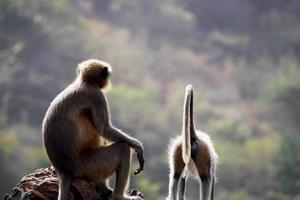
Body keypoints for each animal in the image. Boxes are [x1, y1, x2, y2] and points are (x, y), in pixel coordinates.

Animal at [42, 58, 145, 199]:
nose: (109, 81)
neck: (85, 83)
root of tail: (63, 170)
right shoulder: (97, 96)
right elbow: (104, 129)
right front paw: (138, 147)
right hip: (89, 166)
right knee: (122, 148)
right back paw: (118, 196)